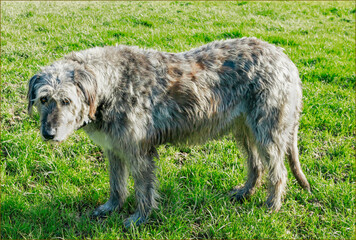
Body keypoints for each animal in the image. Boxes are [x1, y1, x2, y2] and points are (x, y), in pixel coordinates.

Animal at [27, 37, 310, 227]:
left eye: (66, 101)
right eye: (44, 99)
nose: (48, 134)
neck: (111, 85)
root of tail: (286, 60)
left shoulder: (139, 153)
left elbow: (143, 189)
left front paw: (138, 219)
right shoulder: (114, 149)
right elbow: (116, 185)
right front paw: (110, 207)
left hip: (267, 131)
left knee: (278, 172)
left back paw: (271, 206)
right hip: (244, 130)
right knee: (256, 165)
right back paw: (245, 192)